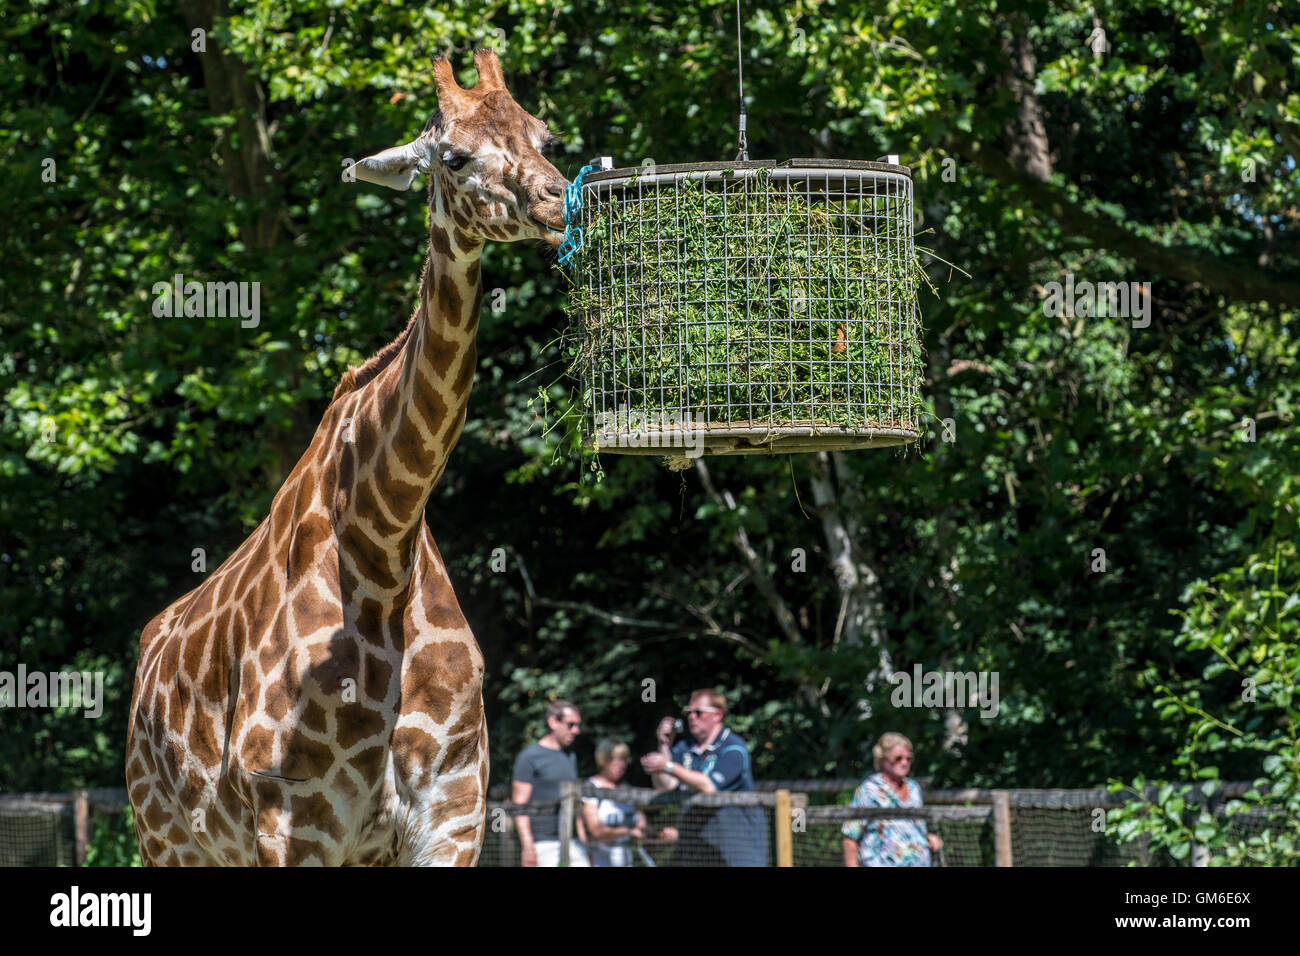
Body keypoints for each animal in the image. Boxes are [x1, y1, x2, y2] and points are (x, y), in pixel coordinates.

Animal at [126, 48, 570, 865]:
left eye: (544, 137)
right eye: (453, 157)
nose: (561, 204)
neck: (384, 544)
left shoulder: (453, 814)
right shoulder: (294, 821)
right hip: (170, 840)